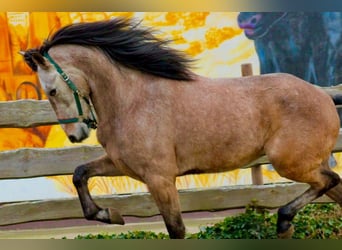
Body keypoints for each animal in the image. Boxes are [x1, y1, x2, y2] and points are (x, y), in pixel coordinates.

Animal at [21, 17, 342, 238]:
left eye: (50, 91)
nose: (76, 135)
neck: (132, 100)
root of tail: (323, 94)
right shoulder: (122, 165)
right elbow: (79, 174)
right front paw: (109, 215)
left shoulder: (160, 179)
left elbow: (175, 229)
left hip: (290, 162)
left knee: (329, 181)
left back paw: (284, 220)